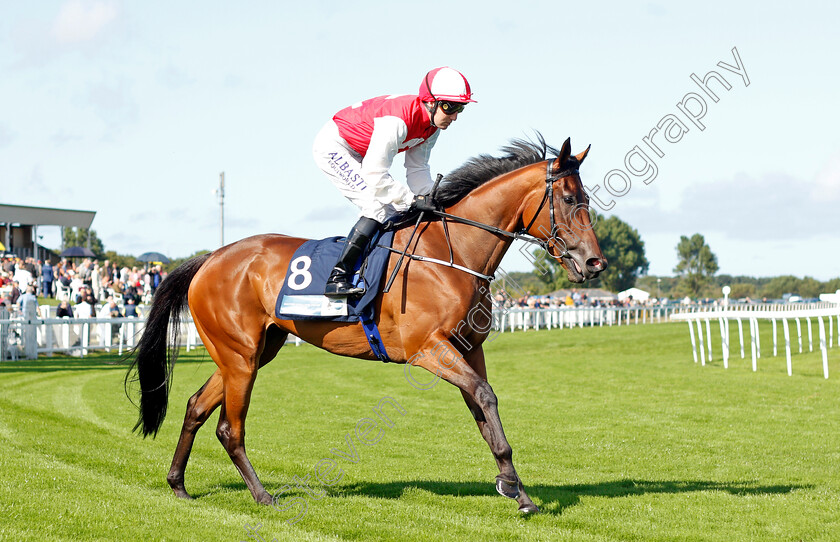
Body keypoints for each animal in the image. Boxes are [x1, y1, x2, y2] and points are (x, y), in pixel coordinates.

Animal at [126, 135, 604, 516]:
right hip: (240, 356)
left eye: (587, 199)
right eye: (568, 200)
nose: (593, 263)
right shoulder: (427, 349)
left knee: (195, 406)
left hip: (250, 352)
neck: (452, 253)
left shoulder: (470, 348)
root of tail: (210, 258)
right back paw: (262, 496)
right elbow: (485, 397)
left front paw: (516, 489)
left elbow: (483, 409)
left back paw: (178, 484)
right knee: (230, 428)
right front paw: (513, 487)